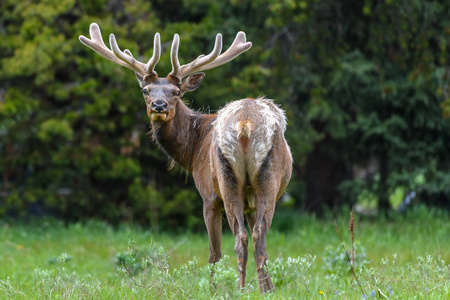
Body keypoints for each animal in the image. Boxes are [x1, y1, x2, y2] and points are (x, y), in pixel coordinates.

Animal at [79, 24, 294, 292]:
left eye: (176, 91)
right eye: (145, 90)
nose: (159, 106)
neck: (193, 149)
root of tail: (245, 125)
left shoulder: (208, 195)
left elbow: (214, 253)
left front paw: (214, 290)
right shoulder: (248, 201)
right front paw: (268, 288)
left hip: (229, 181)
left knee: (239, 239)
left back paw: (239, 289)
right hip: (257, 182)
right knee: (256, 237)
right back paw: (254, 289)